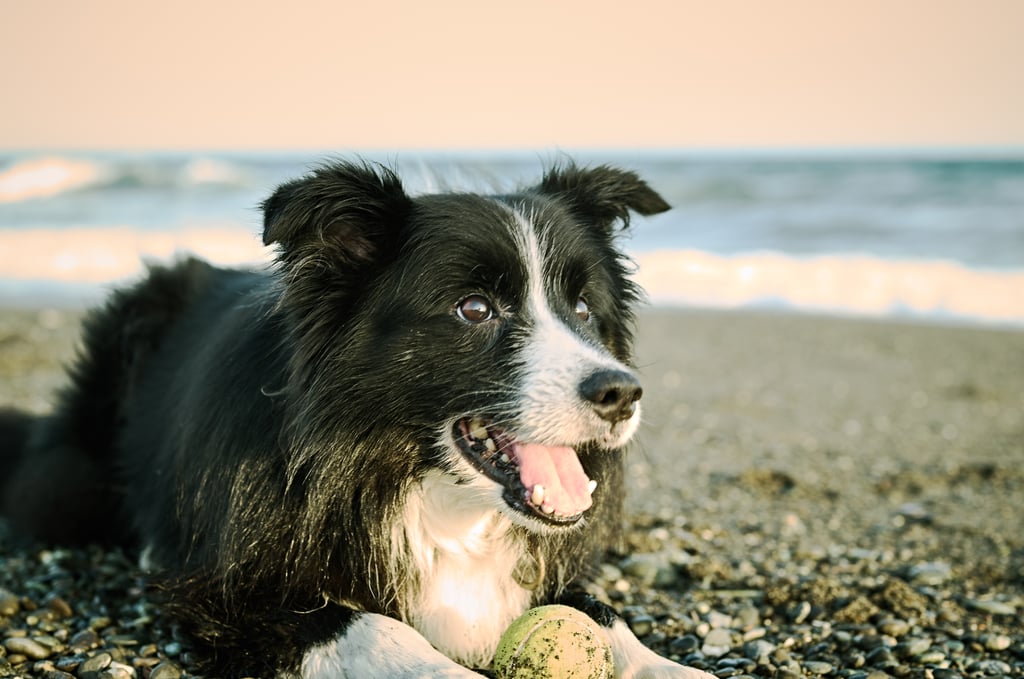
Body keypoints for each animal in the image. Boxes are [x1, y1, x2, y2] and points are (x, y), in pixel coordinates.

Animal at [0, 160, 708, 679]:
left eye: (584, 308)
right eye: (474, 308)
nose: (622, 393)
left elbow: (606, 617)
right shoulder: (221, 592)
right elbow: (367, 624)